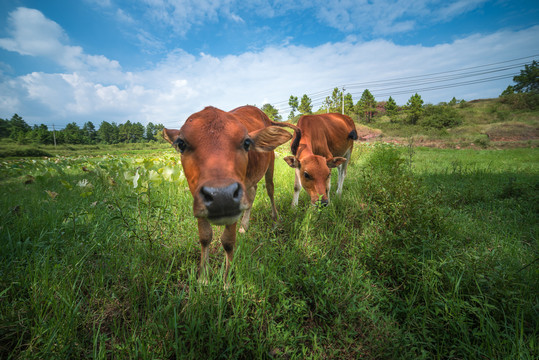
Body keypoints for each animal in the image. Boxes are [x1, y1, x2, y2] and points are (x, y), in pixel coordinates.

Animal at [162, 105, 302, 282]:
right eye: (181, 144)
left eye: (246, 142)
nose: (221, 196)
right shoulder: (199, 200)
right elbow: (205, 237)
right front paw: (203, 278)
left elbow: (228, 241)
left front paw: (227, 280)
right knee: (252, 194)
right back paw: (244, 226)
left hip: (269, 163)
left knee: (270, 189)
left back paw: (275, 219)